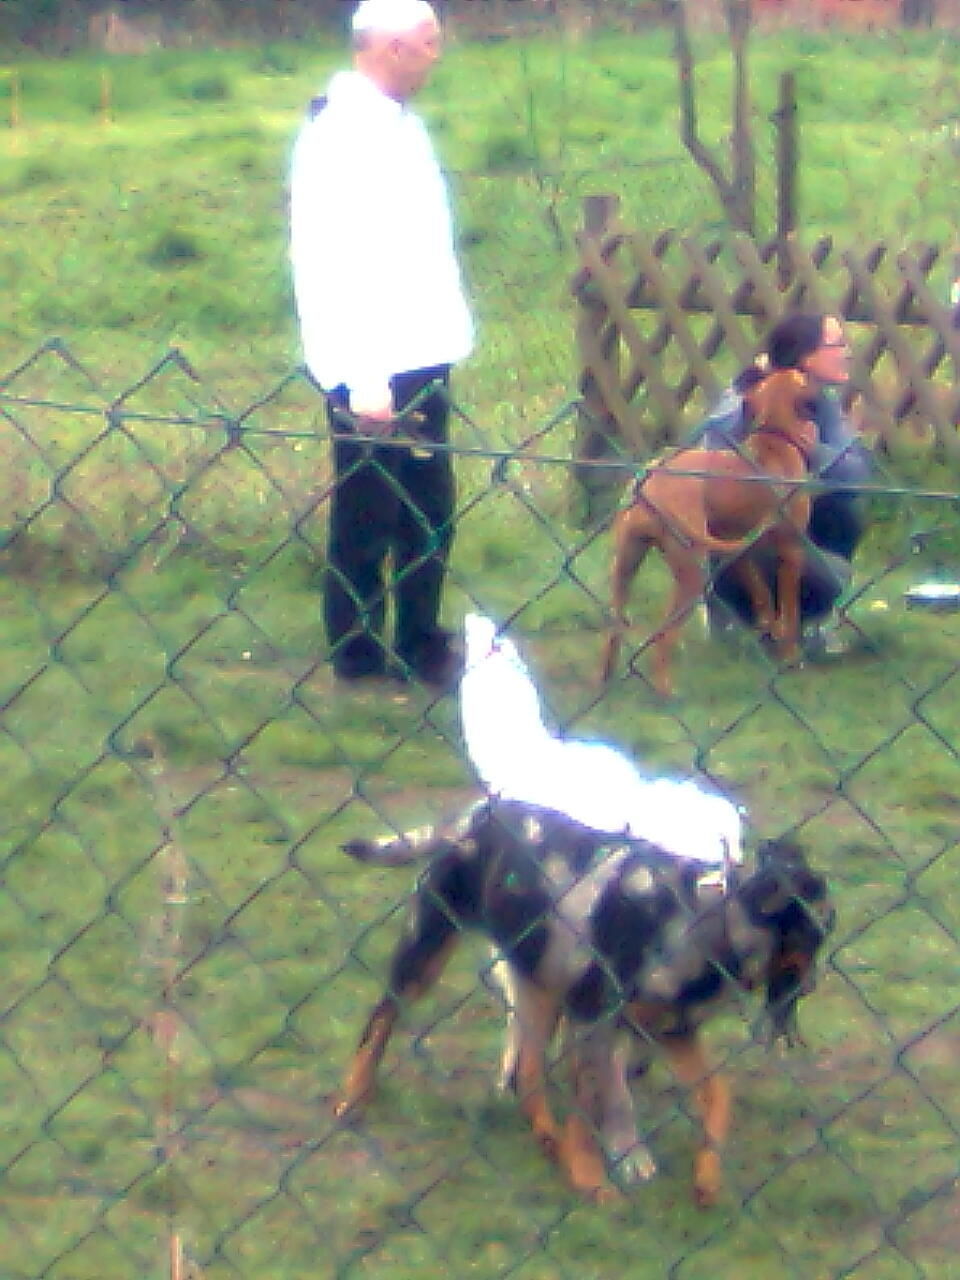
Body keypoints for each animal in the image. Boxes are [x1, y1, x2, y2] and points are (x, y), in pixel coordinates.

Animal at [335, 798, 834, 1208]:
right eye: (813, 933)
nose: (812, 987)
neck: (700, 925)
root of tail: (478, 812)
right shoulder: (596, 1023)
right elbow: (592, 1113)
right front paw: (596, 1182)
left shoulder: (671, 1032)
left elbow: (717, 1097)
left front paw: (706, 1179)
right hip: (426, 952)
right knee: (380, 1019)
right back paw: (353, 1098)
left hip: (539, 989)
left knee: (526, 1073)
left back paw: (545, 1140)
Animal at [601, 366, 819, 696]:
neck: (773, 437)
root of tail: (650, 487)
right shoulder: (791, 552)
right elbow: (790, 610)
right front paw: (790, 654)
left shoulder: (737, 549)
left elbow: (761, 594)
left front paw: (768, 625)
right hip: (691, 577)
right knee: (663, 637)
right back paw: (665, 691)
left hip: (625, 566)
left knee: (613, 624)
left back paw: (605, 678)